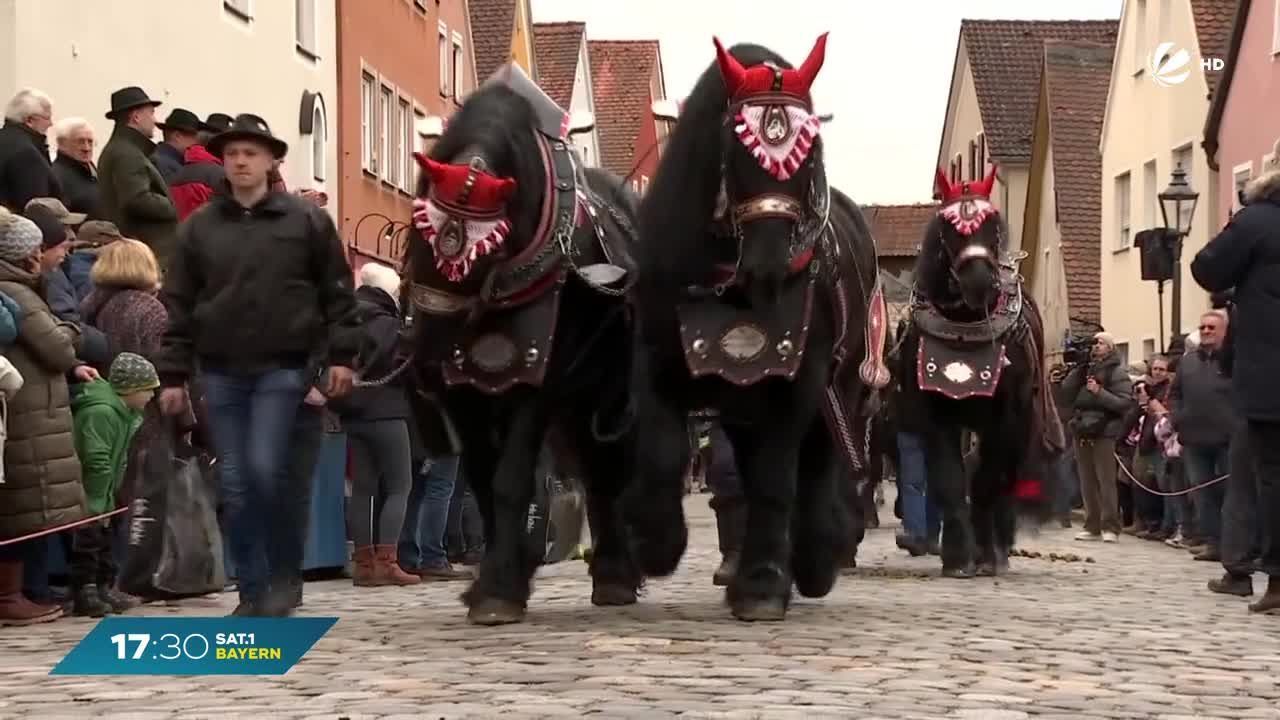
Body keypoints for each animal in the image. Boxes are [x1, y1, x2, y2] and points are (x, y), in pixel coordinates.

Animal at [399, 64, 640, 620]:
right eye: (420, 230)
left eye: (481, 250)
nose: (425, 364)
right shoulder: (465, 392)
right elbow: (485, 479)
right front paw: (500, 575)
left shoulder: (536, 382)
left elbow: (511, 480)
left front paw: (499, 590)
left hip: (601, 392)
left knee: (605, 470)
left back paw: (615, 574)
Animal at [622, 35, 885, 617]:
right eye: (739, 148)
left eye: (809, 152)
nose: (767, 268)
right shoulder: (660, 363)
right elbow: (661, 452)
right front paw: (655, 543)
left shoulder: (796, 381)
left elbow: (775, 477)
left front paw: (764, 583)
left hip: (843, 385)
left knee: (816, 461)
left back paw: (813, 559)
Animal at [890, 165, 1059, 573]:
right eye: (948, 226)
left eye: (993, 223)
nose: (980, 282)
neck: (963, 330)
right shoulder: (935, 413)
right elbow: (950, 478)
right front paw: (956, 553)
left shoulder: (1006, 417)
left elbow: (986, 479)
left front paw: (985, 553)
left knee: (1001, 477)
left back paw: (999, 544)